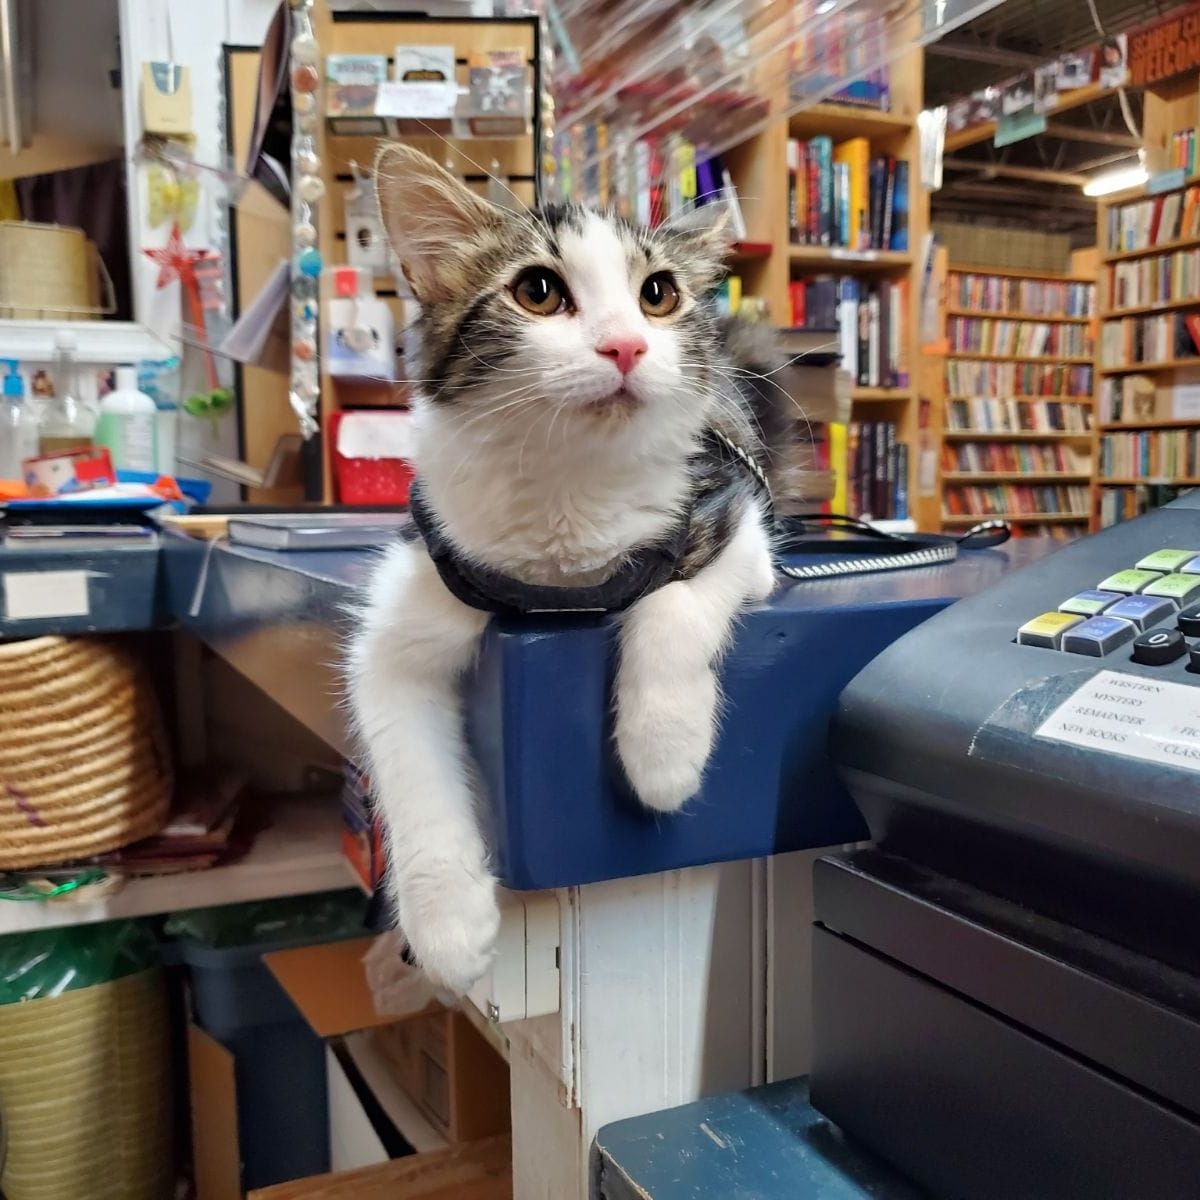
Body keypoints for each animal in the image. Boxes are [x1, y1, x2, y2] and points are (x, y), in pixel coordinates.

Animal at [345, 145, 796, 993]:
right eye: (538, 292)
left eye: (657, 294)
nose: (626, 345)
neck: (569, 493)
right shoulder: (411, 590)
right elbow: (401, 743)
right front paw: (446, 923)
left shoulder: (737, 519)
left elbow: (673, 604)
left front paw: (662, 750)